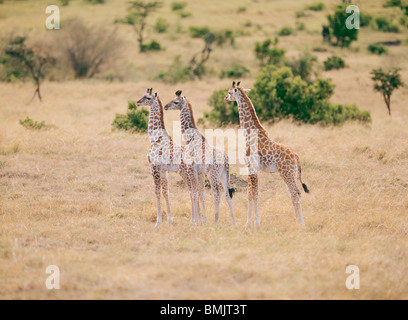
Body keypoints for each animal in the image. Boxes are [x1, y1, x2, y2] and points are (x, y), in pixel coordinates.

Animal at [137, 88, 201, 228]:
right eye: (142, 95)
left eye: (148, 98)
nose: (137, 102)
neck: (155, 139)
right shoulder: (163, 171)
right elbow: (166, 192)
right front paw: (170, 220)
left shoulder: (154, 168)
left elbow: (157, 192)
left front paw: (158, 222)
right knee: (196, 191)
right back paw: (198, 220)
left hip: (185, 173)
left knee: (193, 191)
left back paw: (195, 221)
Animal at [164, 89, 237, 225]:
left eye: (175, 101)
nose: (165, 106)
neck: (191, 138)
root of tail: (226, 159)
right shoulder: (200, 173)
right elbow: (201, 193)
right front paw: (202, 220)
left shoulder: (192, 170)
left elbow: (194, 193)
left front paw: (195, 222)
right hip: (225, 174)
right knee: (227, 195)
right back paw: (234, 223)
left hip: (213, 175)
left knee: (217, 194)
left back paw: (216, 222)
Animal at [223, 82, 310, 228]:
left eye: (229, 92)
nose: (225, 98)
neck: (248, 134)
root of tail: (296, 157)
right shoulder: (249, 168)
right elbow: (249, 194)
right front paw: (247, 223)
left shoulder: (252, 167)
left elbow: (255, 194)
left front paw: (257, 223)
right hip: (290, 174)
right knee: (294, 194)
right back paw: (298, 222)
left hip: (287, 174)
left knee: (295, 193)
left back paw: (301, 224)